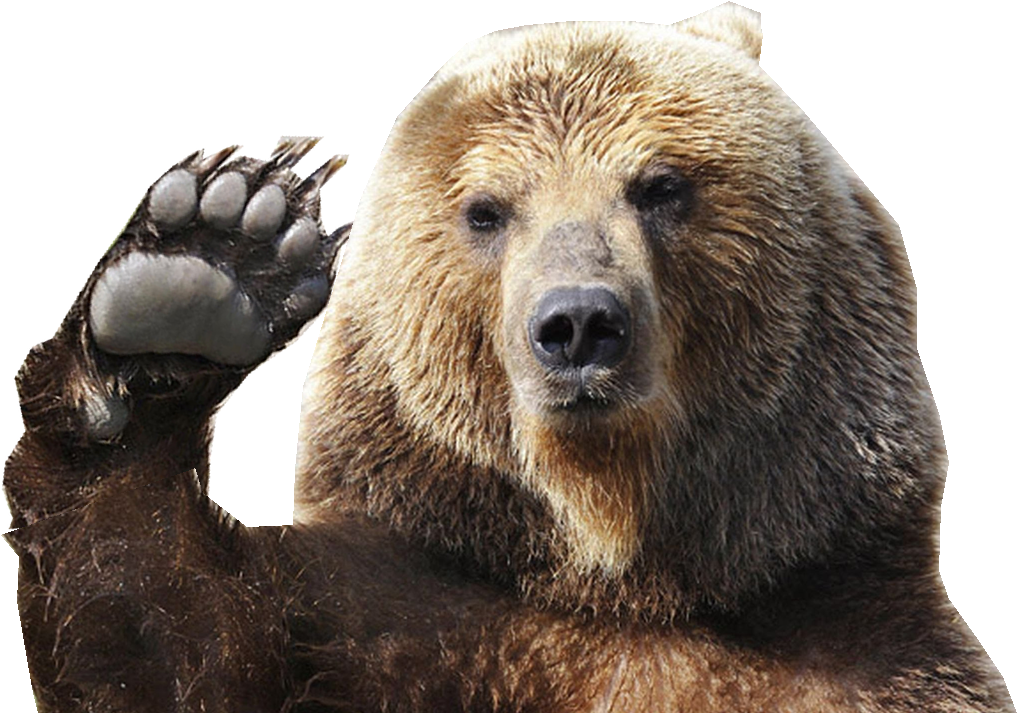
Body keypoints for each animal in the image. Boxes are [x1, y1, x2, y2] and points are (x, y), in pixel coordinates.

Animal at [5, 5, 1012, 712]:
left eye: (661, 184)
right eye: (486, 210)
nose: (579, 324)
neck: (618, 565)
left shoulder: (869, 657)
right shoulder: (395, 618)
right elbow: (160, 641)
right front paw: (206, 258)